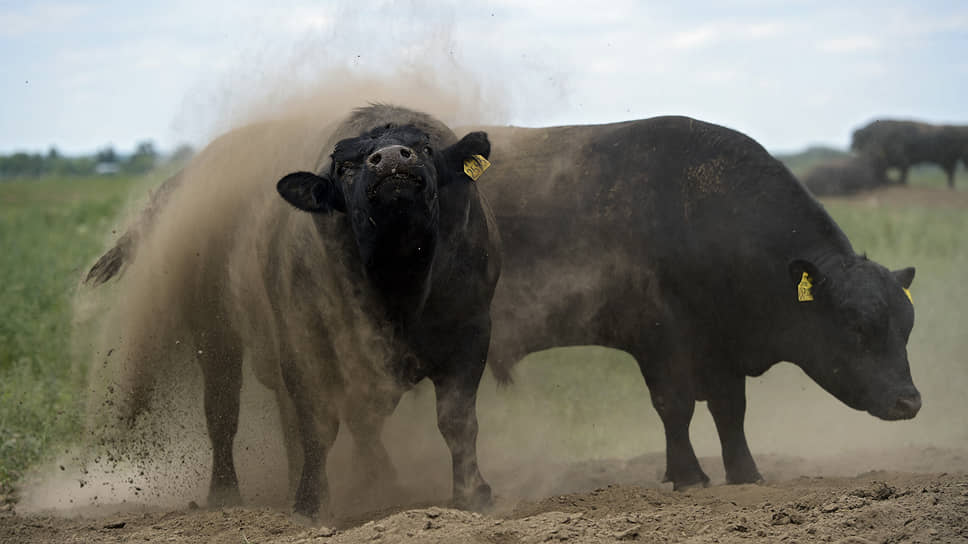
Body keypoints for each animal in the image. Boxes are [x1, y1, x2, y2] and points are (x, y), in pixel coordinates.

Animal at [92, 107, 500, 520]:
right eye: (345, 166)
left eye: (425, 148)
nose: (389, 159)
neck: (397, 277)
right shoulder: (306, 343)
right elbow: (318, 424)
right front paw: (311, 502)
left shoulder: (471, 335)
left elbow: (456, 420)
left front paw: (472, 492)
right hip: (215, 333)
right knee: (223, 410)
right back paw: (225, 491)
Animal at [480, 118, 920, 488]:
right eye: (857, 325)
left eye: (906, 328)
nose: (909, 400)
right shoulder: (659, 339)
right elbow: (675, 405)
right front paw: (688, 475)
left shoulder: (722, 346)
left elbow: (730, 410)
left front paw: (745, 473)